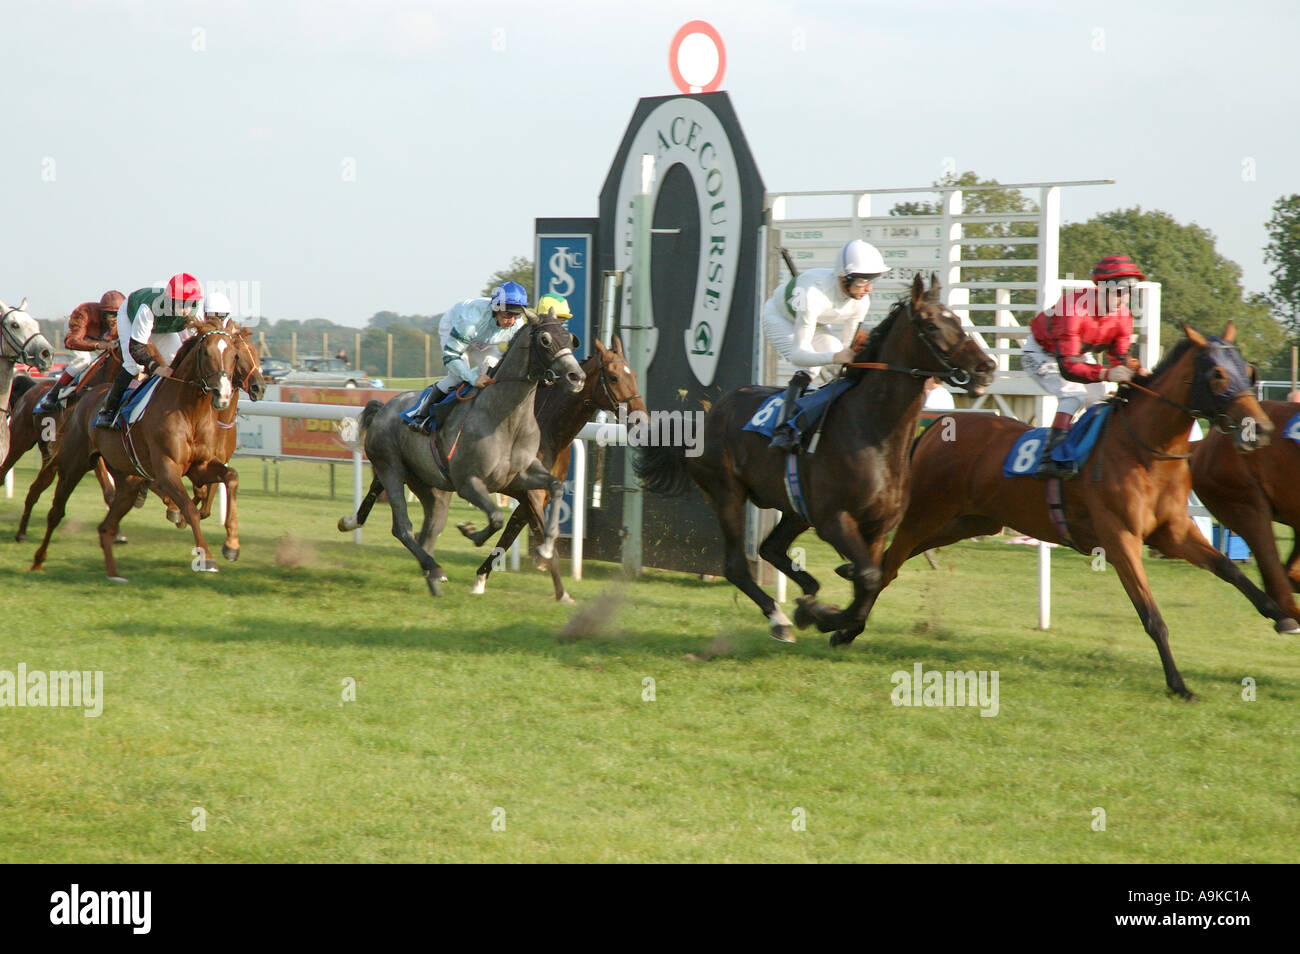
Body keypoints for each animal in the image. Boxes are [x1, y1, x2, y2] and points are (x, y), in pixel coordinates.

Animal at [30, 320, 240, 580]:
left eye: (235, 355)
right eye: (206, 353)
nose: (223, 395)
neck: (190, 412)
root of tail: (86, 397)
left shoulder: (200, 467)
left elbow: (231, 476)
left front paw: (231, 545)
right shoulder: (167, 470)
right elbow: (189, 509)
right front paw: (207, 557)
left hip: (127, 481)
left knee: (106, 527)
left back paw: (113, 574)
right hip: (74, 465)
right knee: (56, 511)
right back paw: (38, 560)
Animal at [337, 313, 585, 596]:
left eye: (572, 340)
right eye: (545, 340)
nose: (577, 376)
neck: (505, 418)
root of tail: (383, 408)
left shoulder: (519, 476)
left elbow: (554, 487)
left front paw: (546, 548)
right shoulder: (468, 483)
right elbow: (497, 517)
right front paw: (471, 532)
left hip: (429, 486)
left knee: (429, 531)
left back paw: (432, 581)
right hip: (390, 468)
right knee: (402, 527)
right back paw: (434, 569)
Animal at [468, 335, 647, 602]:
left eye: (634, 374)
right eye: (614, 377)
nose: (642, 420)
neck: (548, 429)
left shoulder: (534, 497)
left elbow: (509, 533)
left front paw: (480, 577)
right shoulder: (532, 493)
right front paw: (561, 592)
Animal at [635, 274, 995, 642]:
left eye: (958, 319)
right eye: (931, 324)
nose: (986, 368)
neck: (872, 432)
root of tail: (706, 418)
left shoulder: (878, 526)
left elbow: (872, 578)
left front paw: (835, 619)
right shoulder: (834, 519)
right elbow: (868, 577)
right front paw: (828, 617)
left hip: (796, 510)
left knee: (770, 549)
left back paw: (806, 595)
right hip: (727, 494)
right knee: (736, 566)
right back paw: (780, 618)